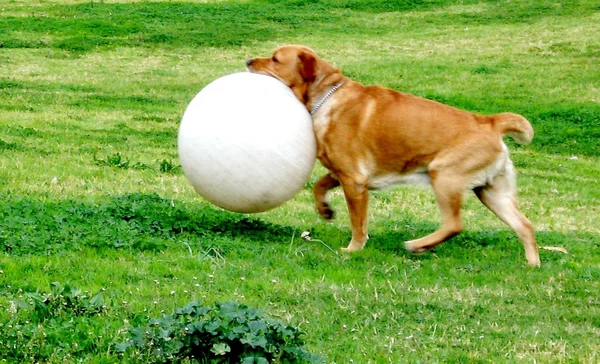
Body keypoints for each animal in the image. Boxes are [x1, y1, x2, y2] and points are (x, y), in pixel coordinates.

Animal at [246, 45, 540, 268]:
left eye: (275, 59)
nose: (248, 60)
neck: (326, 98)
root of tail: (490, 122)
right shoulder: (342, 174)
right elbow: (318, 186)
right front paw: (325, 210)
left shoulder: (354, 181)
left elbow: (358, 223)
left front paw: (354, 249)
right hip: (492, 192)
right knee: (525, 226)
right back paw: (532, 264)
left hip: (445, 178)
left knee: (454, 224)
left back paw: (418, 245)